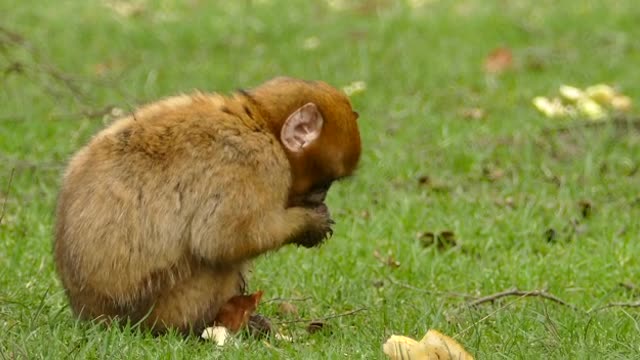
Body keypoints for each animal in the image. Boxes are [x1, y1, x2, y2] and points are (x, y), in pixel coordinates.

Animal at [52, 77, 362, 336]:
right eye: (324, 184)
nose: (320, 198)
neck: (260, 123)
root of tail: (90, 314)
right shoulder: (256, 164)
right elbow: (221, 240)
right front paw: (309, 223)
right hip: (164, 306)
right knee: (216, 261)